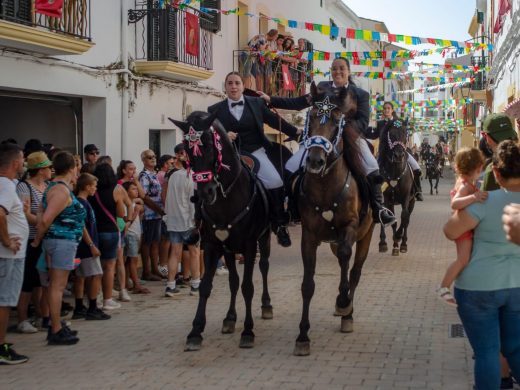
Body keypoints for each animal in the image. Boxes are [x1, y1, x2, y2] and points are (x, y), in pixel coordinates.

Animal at [171, 112, 276, 350]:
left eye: (211, 146)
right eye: (187, 149)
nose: (206, 193)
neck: (225, 200)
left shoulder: (249, 246)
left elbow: (248, 286)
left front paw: (248, 331)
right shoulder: (212, 246)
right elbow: (206, 286)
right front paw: (195, 331)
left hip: (263, 239)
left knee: (264, 267)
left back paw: (266, 305)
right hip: (228, 250)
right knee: (233, 281)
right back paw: (229, 318)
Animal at [292, 82, 374, 356]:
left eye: (338, 121)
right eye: (312, 116)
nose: (315, 160)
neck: (326, 185)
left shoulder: (349, 227)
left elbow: (348, 260)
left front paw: (343, 302)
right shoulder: (309, 236)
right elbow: (307, 285)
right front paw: (302, 336)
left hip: (367, 235)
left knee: (355, 270)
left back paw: (346, 312)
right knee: (343, 264)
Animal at [378, 120, 414, 258]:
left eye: (405, 133)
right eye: (391, 135)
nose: (398, 155)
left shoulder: (406, 197)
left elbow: (404, 217)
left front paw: (399, 239)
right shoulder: (388, 198)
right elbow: (392, 220)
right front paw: (392, 244)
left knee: (407, 218)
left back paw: (403, 243)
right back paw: (385, 243)